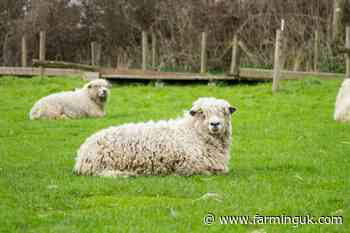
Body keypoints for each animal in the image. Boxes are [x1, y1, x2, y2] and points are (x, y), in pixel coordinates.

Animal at [74, 97, 238, 177]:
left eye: (225, 112)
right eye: (202, 113)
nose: (215, 124)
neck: (192, 133)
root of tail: (81, 155)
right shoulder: (191, 165)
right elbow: (210, 172)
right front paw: (175, 174)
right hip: (101, 164)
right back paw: (126, 174)